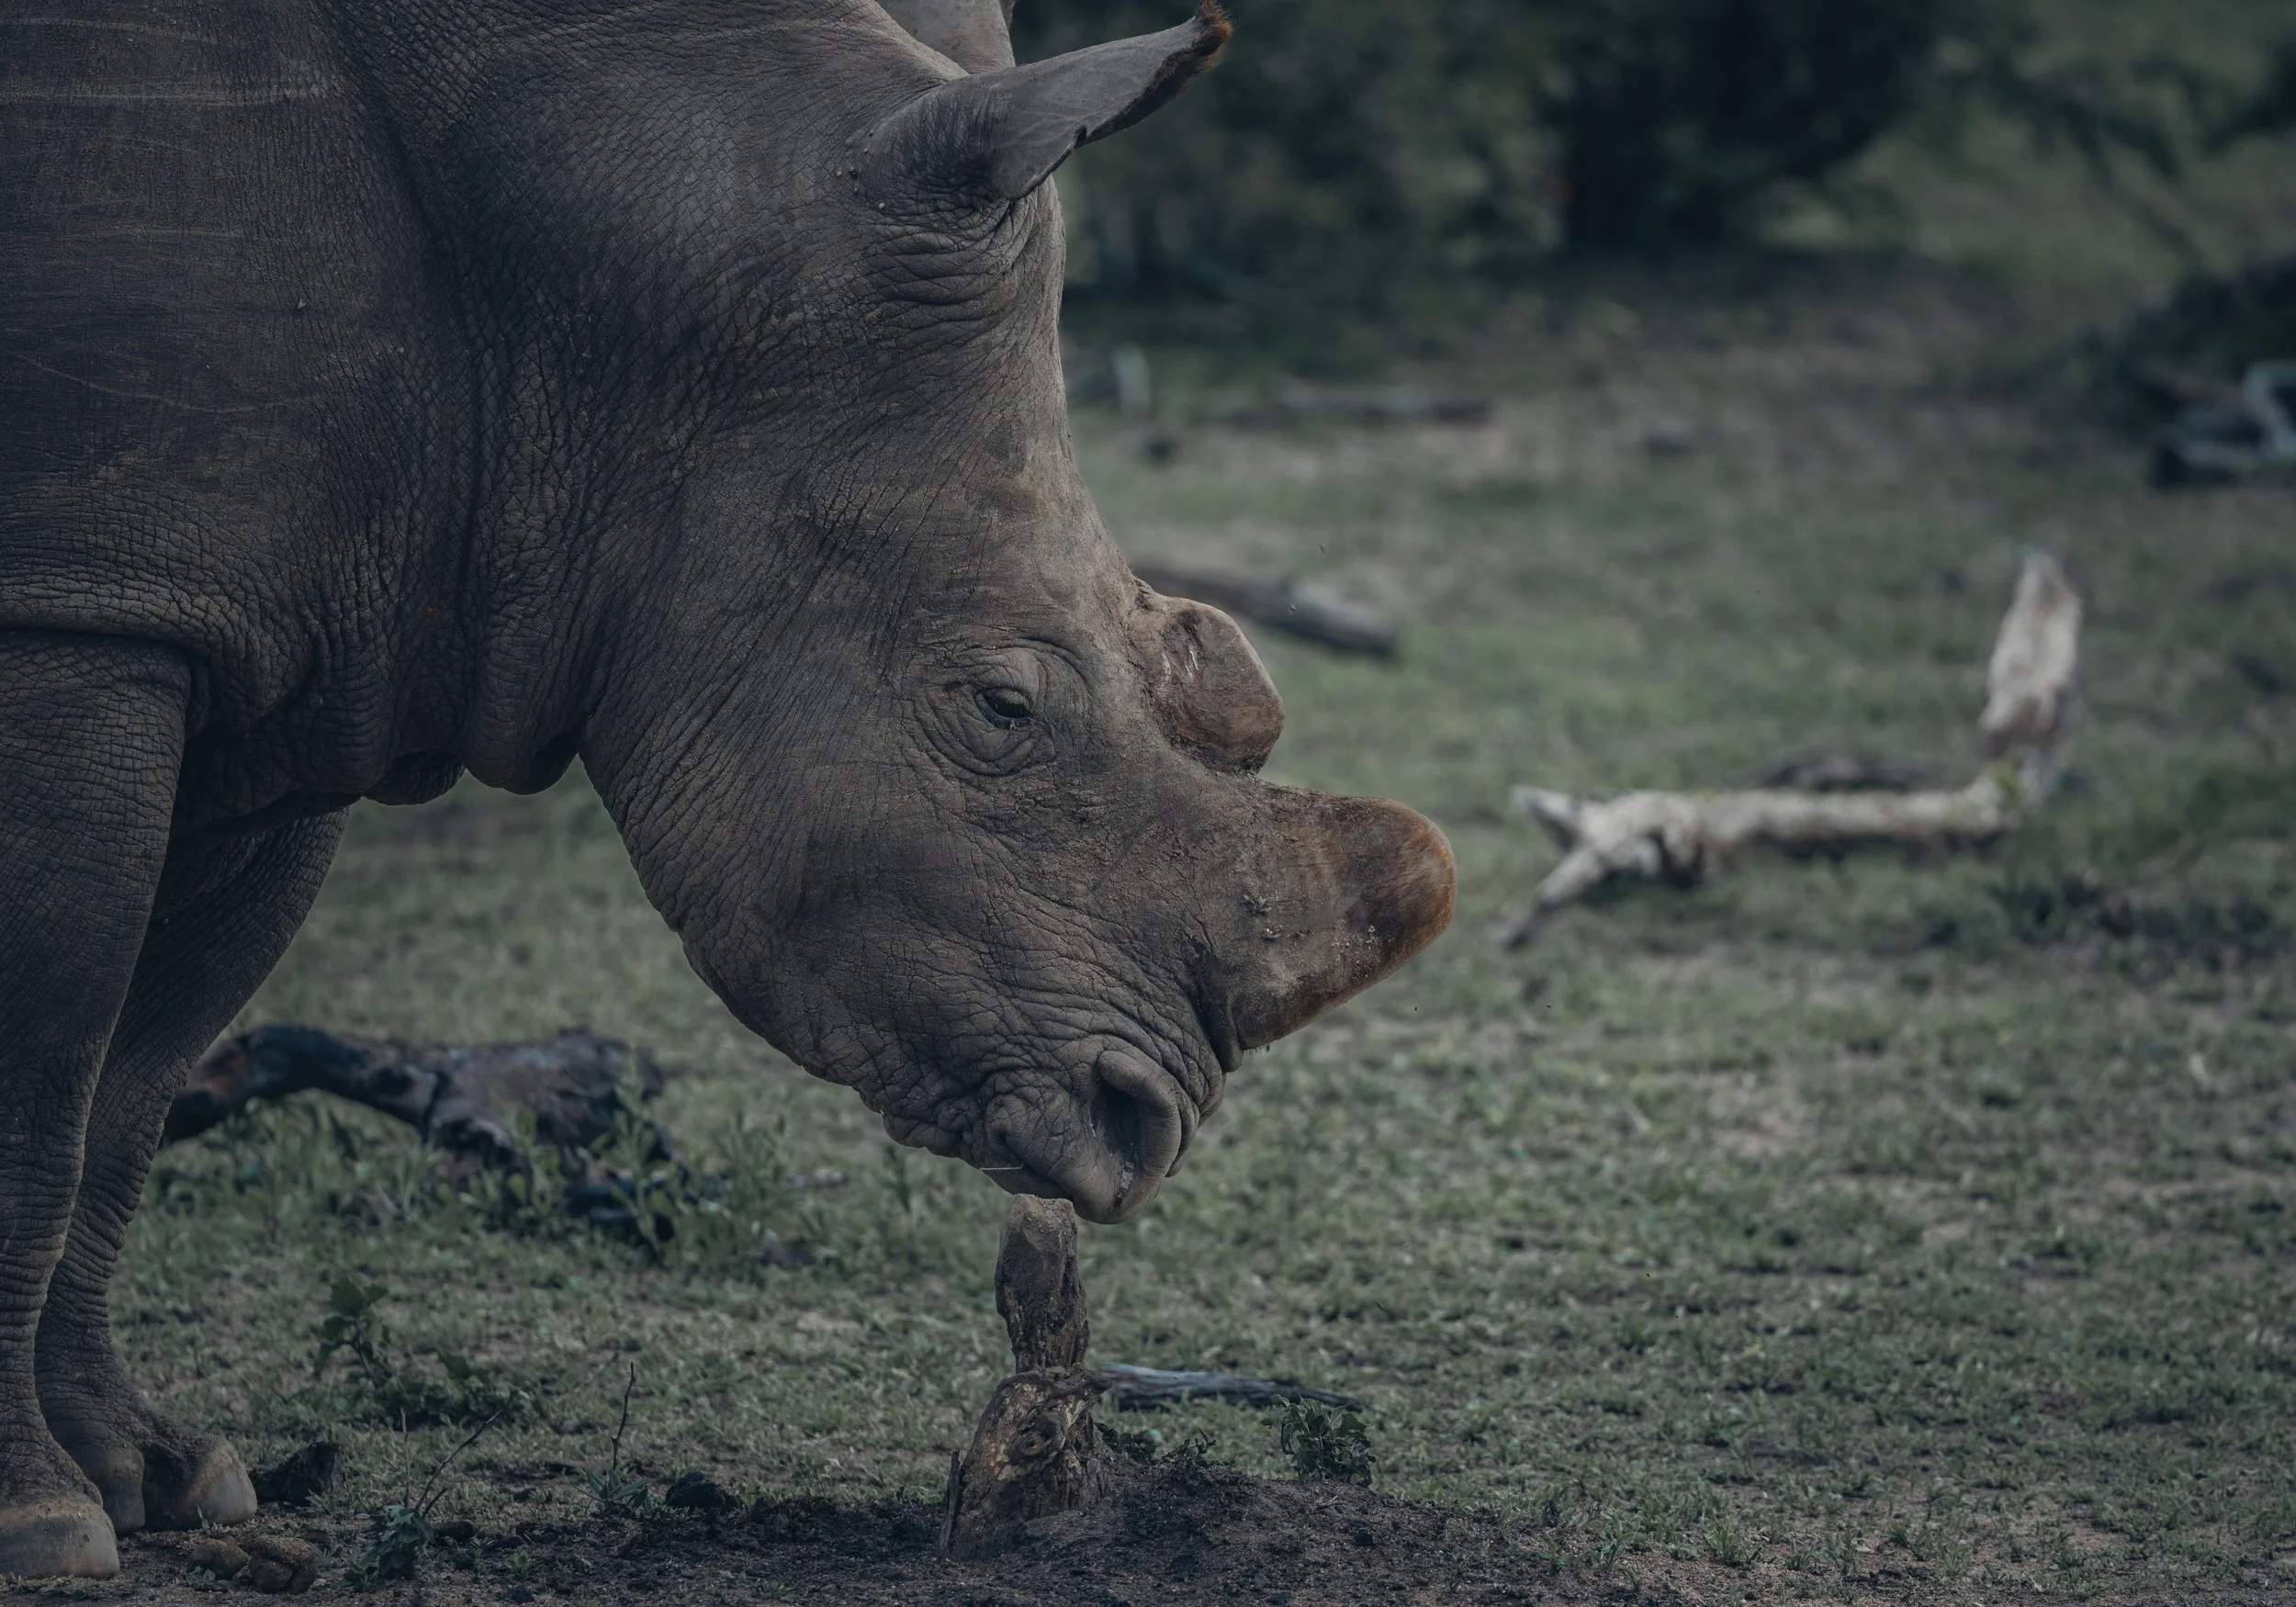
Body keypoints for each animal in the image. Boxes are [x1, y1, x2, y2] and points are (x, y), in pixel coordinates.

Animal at [0, 0, 1455, 1578]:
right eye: (1001, 707)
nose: (1147, 1125)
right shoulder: (77, 611)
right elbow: (44, 1068)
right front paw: (44, 1526)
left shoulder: (283, 632)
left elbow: (134, 1076)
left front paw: (166, 1479)